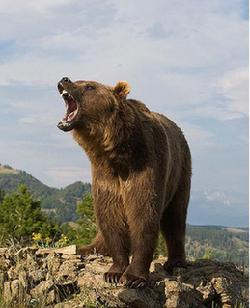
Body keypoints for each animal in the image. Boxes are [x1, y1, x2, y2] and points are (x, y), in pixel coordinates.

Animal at [56, 76, 191, 288]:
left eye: (89, 86)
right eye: (79, 80)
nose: (64, 79)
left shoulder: (146, 164)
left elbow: (143, 214)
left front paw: (134, 277)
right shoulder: (105, 176)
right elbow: (110, 216)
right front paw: (114, 271)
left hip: (180, 171)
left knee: (175, 216)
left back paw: (176, 262)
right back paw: (87, 248)